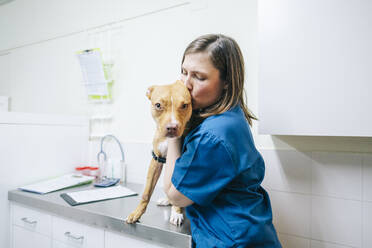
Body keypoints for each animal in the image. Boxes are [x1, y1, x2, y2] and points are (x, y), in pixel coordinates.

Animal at [127, 80, 193, 226]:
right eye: (158, 105)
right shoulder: (156, 160)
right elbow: (146, 193)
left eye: (184, 105)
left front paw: (176, 212)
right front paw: (137, 213)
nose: (172, 127)